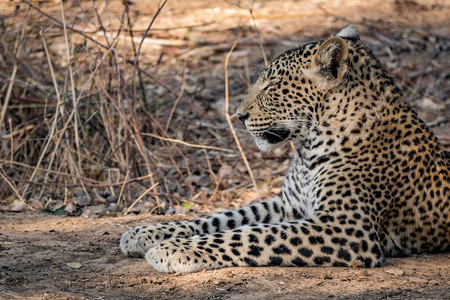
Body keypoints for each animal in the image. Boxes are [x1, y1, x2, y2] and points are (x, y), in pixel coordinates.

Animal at [118, 25, 448, 274]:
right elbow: (222, 218)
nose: (238, 116)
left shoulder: (346, 230)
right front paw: (144, 233)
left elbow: (247, 235)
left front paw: (172, 249)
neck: (308, 149)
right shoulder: (288, 204)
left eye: (272, 86)